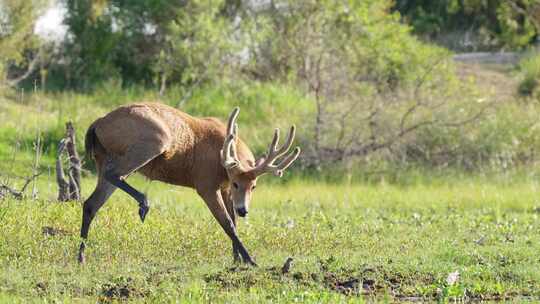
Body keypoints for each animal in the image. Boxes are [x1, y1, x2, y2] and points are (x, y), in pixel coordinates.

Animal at [79, 101, 300, 264]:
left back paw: (81, 256)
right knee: (114, 175)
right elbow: (227, 223)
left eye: (254, 186)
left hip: (105, 156)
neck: (222, 158)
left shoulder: (223, 188)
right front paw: (249, 260)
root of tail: (95, 125)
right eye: (236, 183)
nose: (244, 209)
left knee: (91, 203)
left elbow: (233, 220)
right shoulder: (205, 184)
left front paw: (237, 259)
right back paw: (144, 204)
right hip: (154, 140)